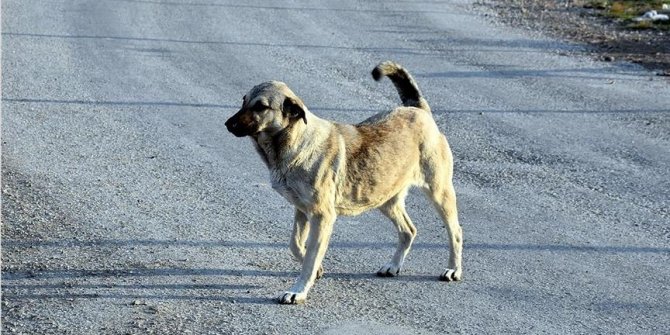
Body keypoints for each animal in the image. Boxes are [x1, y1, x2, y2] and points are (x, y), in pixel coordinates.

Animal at [226, 60, 462, 304]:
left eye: (260, 107)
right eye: (244, 101)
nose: (228, 124)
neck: (297, 141)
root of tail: (418, 110)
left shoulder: (322, 217)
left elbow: (310, 258)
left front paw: (299, 290)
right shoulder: (302, 211)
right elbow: (295, 244)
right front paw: (316, 270)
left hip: (439, 193)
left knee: (455, 231)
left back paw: (453, 269)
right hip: (385, 199)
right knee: (408, 230)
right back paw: (394, 265)